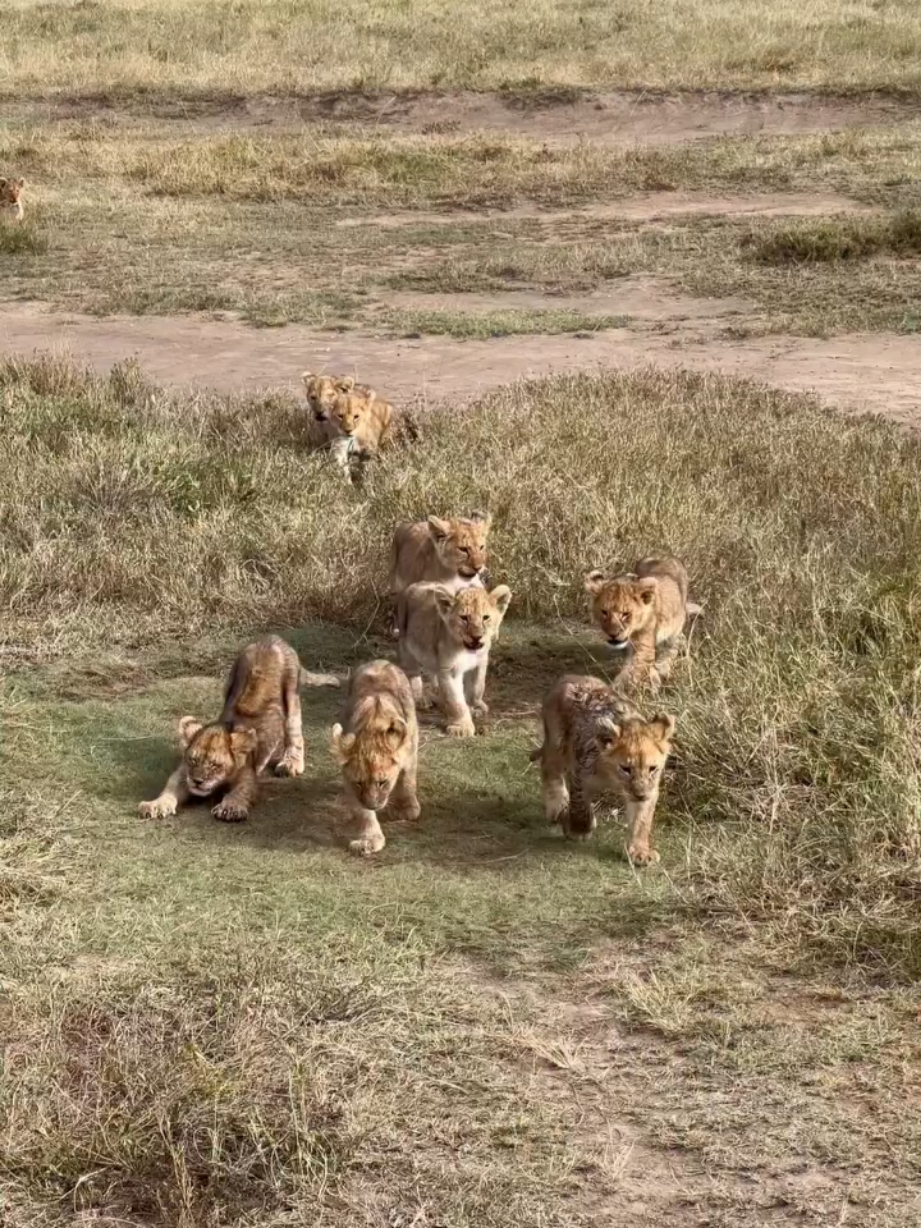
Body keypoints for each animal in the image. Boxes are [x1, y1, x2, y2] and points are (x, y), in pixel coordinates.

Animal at [139, 636, 339, 824]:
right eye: (193, 760)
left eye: (215, 765)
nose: (197, 781)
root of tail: (273, 638)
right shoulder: (183, 773)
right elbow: (169, 788)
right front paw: (155, 805)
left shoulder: (248, 778)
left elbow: (241, 792)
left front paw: (230, 808)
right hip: (229, 681)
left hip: (292, 695)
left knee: (295, 733)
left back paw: (291, 764)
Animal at [331, 659, 420, 856]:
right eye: (359, 783)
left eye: (382, 782)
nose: (373, 805)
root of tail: (380, 661)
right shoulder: (349, 779)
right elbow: (362, 812)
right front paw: (369, 840)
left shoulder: (408, 747)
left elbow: (407, 777)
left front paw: (406, 808)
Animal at [396, 580, 511, 737]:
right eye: (464, 618)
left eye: (485, 617)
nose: (476, 637)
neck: (467, 651)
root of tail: (415, 584)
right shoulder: (450, 670)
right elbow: (456, 701)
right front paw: (462, 727)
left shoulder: (481, 662)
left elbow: (477, 688)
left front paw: (475, 707)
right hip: (407, 647)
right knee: (413, 675)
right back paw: (421, 700)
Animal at [530, 674, 675, 864]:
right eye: (626, 768)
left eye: (652, 768)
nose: (640, 795)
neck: (612, 777)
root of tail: (569, 676)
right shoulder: (581, 773)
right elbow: (580, 805)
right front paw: (579, 830)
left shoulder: (650, 788)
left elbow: (641, 820)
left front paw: (640, 852)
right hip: (557, 742)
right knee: (548, 765)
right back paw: (557, 805)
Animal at [584, 555, 700, 688]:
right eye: (604, 612)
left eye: (626, 614)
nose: (613, 635)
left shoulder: (644, 648)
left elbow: (630, 675)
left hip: (676, 626)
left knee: (677, 642)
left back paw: (665, 666)